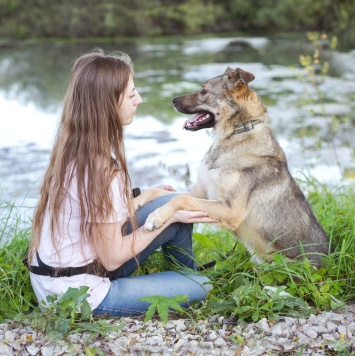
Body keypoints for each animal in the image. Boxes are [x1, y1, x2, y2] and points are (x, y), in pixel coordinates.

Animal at [137, 67, 330, 268]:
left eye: (204, 91)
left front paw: (155, 217)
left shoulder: (229, 209)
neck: (235, 133)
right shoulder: (201, 193)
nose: (173, 100)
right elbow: (160, 193)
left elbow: (180, 199)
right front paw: (135, 203)